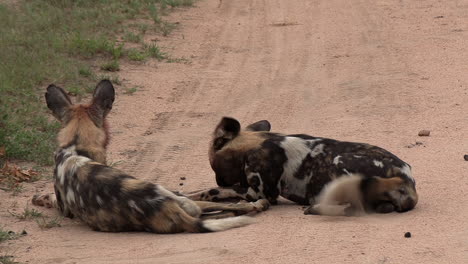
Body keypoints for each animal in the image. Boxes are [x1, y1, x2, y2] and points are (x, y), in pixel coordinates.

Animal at [32, 82, 266, 233]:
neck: (75, 145)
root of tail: (160, 206)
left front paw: (39, 198)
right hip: (181, 200)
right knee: (220, 207)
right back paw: (255, 204)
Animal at [186, 116, 416, 216]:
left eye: (214, 167)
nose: (219, 179)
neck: (256, 144)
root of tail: (405, 177)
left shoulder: (259, 193)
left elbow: (213, 191)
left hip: (340, 161)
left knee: (353, 207)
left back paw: (316, 208)